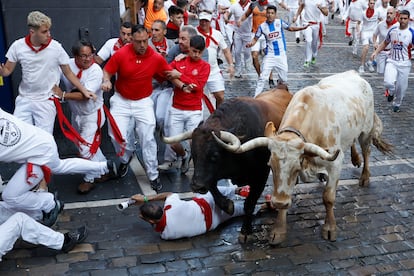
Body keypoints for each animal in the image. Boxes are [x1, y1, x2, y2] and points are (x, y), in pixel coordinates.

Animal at [215, 70, 392, 244]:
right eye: (271, 165)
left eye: (296, 168)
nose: (277, 202)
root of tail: (355, 74)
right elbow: (287, 194)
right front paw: (278, 230)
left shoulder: (335, 164)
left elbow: (328, 198)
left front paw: (329, 228)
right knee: (352, 141)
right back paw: (354, 160)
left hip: (366, 131)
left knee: (366, 150)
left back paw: (364, 176)